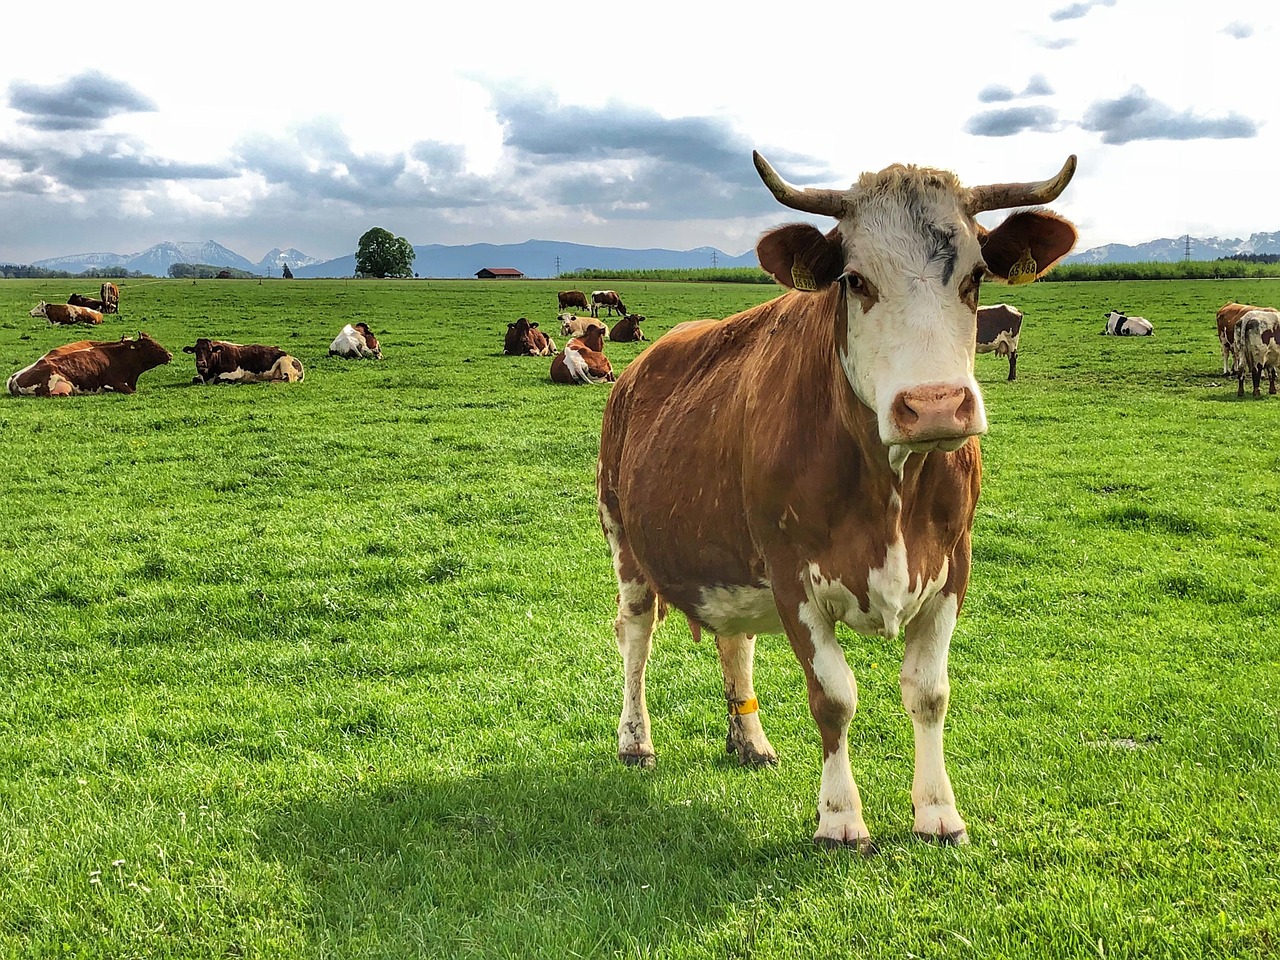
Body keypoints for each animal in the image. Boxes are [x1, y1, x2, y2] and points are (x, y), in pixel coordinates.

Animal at [593, 148, 1075, 849]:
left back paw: (750, 739)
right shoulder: (792, 573)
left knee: (735, 641)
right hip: (624, 537)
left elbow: (929, 692)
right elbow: (834, 697)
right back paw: (635, 741)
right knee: (634, 633)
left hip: (728, 555)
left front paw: (938, 813)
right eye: (853, 280)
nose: (935, 406)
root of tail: (641, 362)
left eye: (976, 275)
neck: (891, 485)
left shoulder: (953, 566)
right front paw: (841, 818)